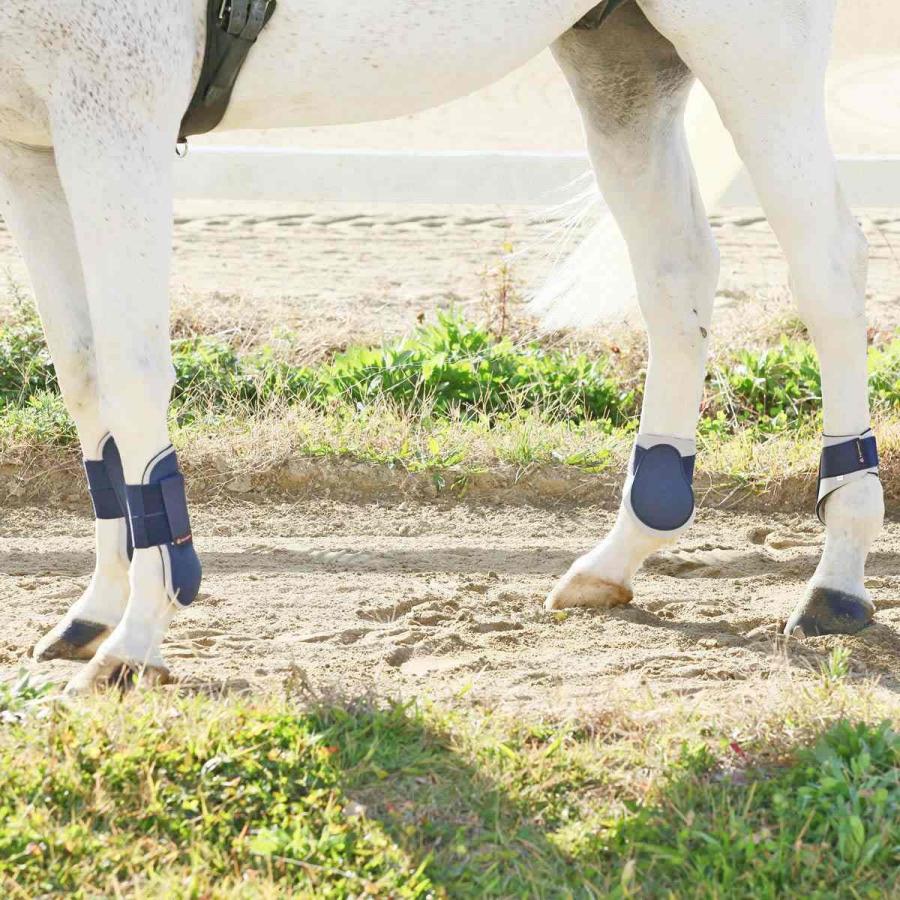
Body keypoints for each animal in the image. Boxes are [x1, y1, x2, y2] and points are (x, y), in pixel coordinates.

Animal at [0, 0, 883, 691]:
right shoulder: (35, 146)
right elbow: (82, 368)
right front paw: (98, 607)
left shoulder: (115, 117)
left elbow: (130, 370)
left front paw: (136, 638)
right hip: (624, 65)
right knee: (677, 274)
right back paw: (620, 554)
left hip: (755, 54)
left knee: (827, 266)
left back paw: (836, 580)